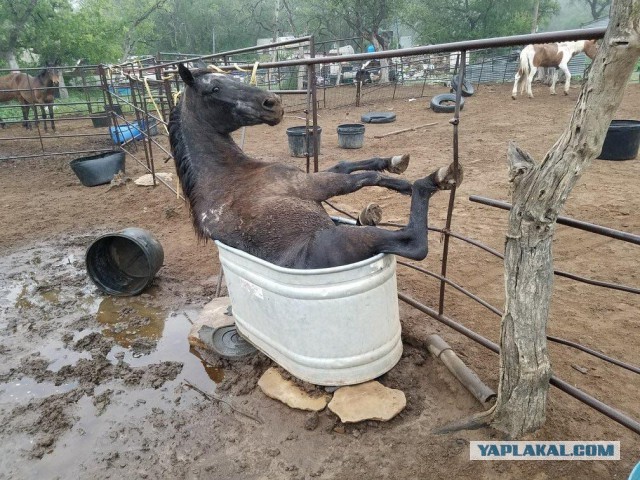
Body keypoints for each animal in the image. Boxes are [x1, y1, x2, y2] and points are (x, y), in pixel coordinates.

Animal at [169, 64, 463, 269]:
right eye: (214, 89)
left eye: (233, 78)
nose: (272, 103)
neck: (231, 175)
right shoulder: (309, 185)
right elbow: (362, 178)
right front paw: (405, 183)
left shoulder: (310, 177)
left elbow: (348, 164)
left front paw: (393, 166)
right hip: (351, 238)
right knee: (413, 242)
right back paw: (437, 178)